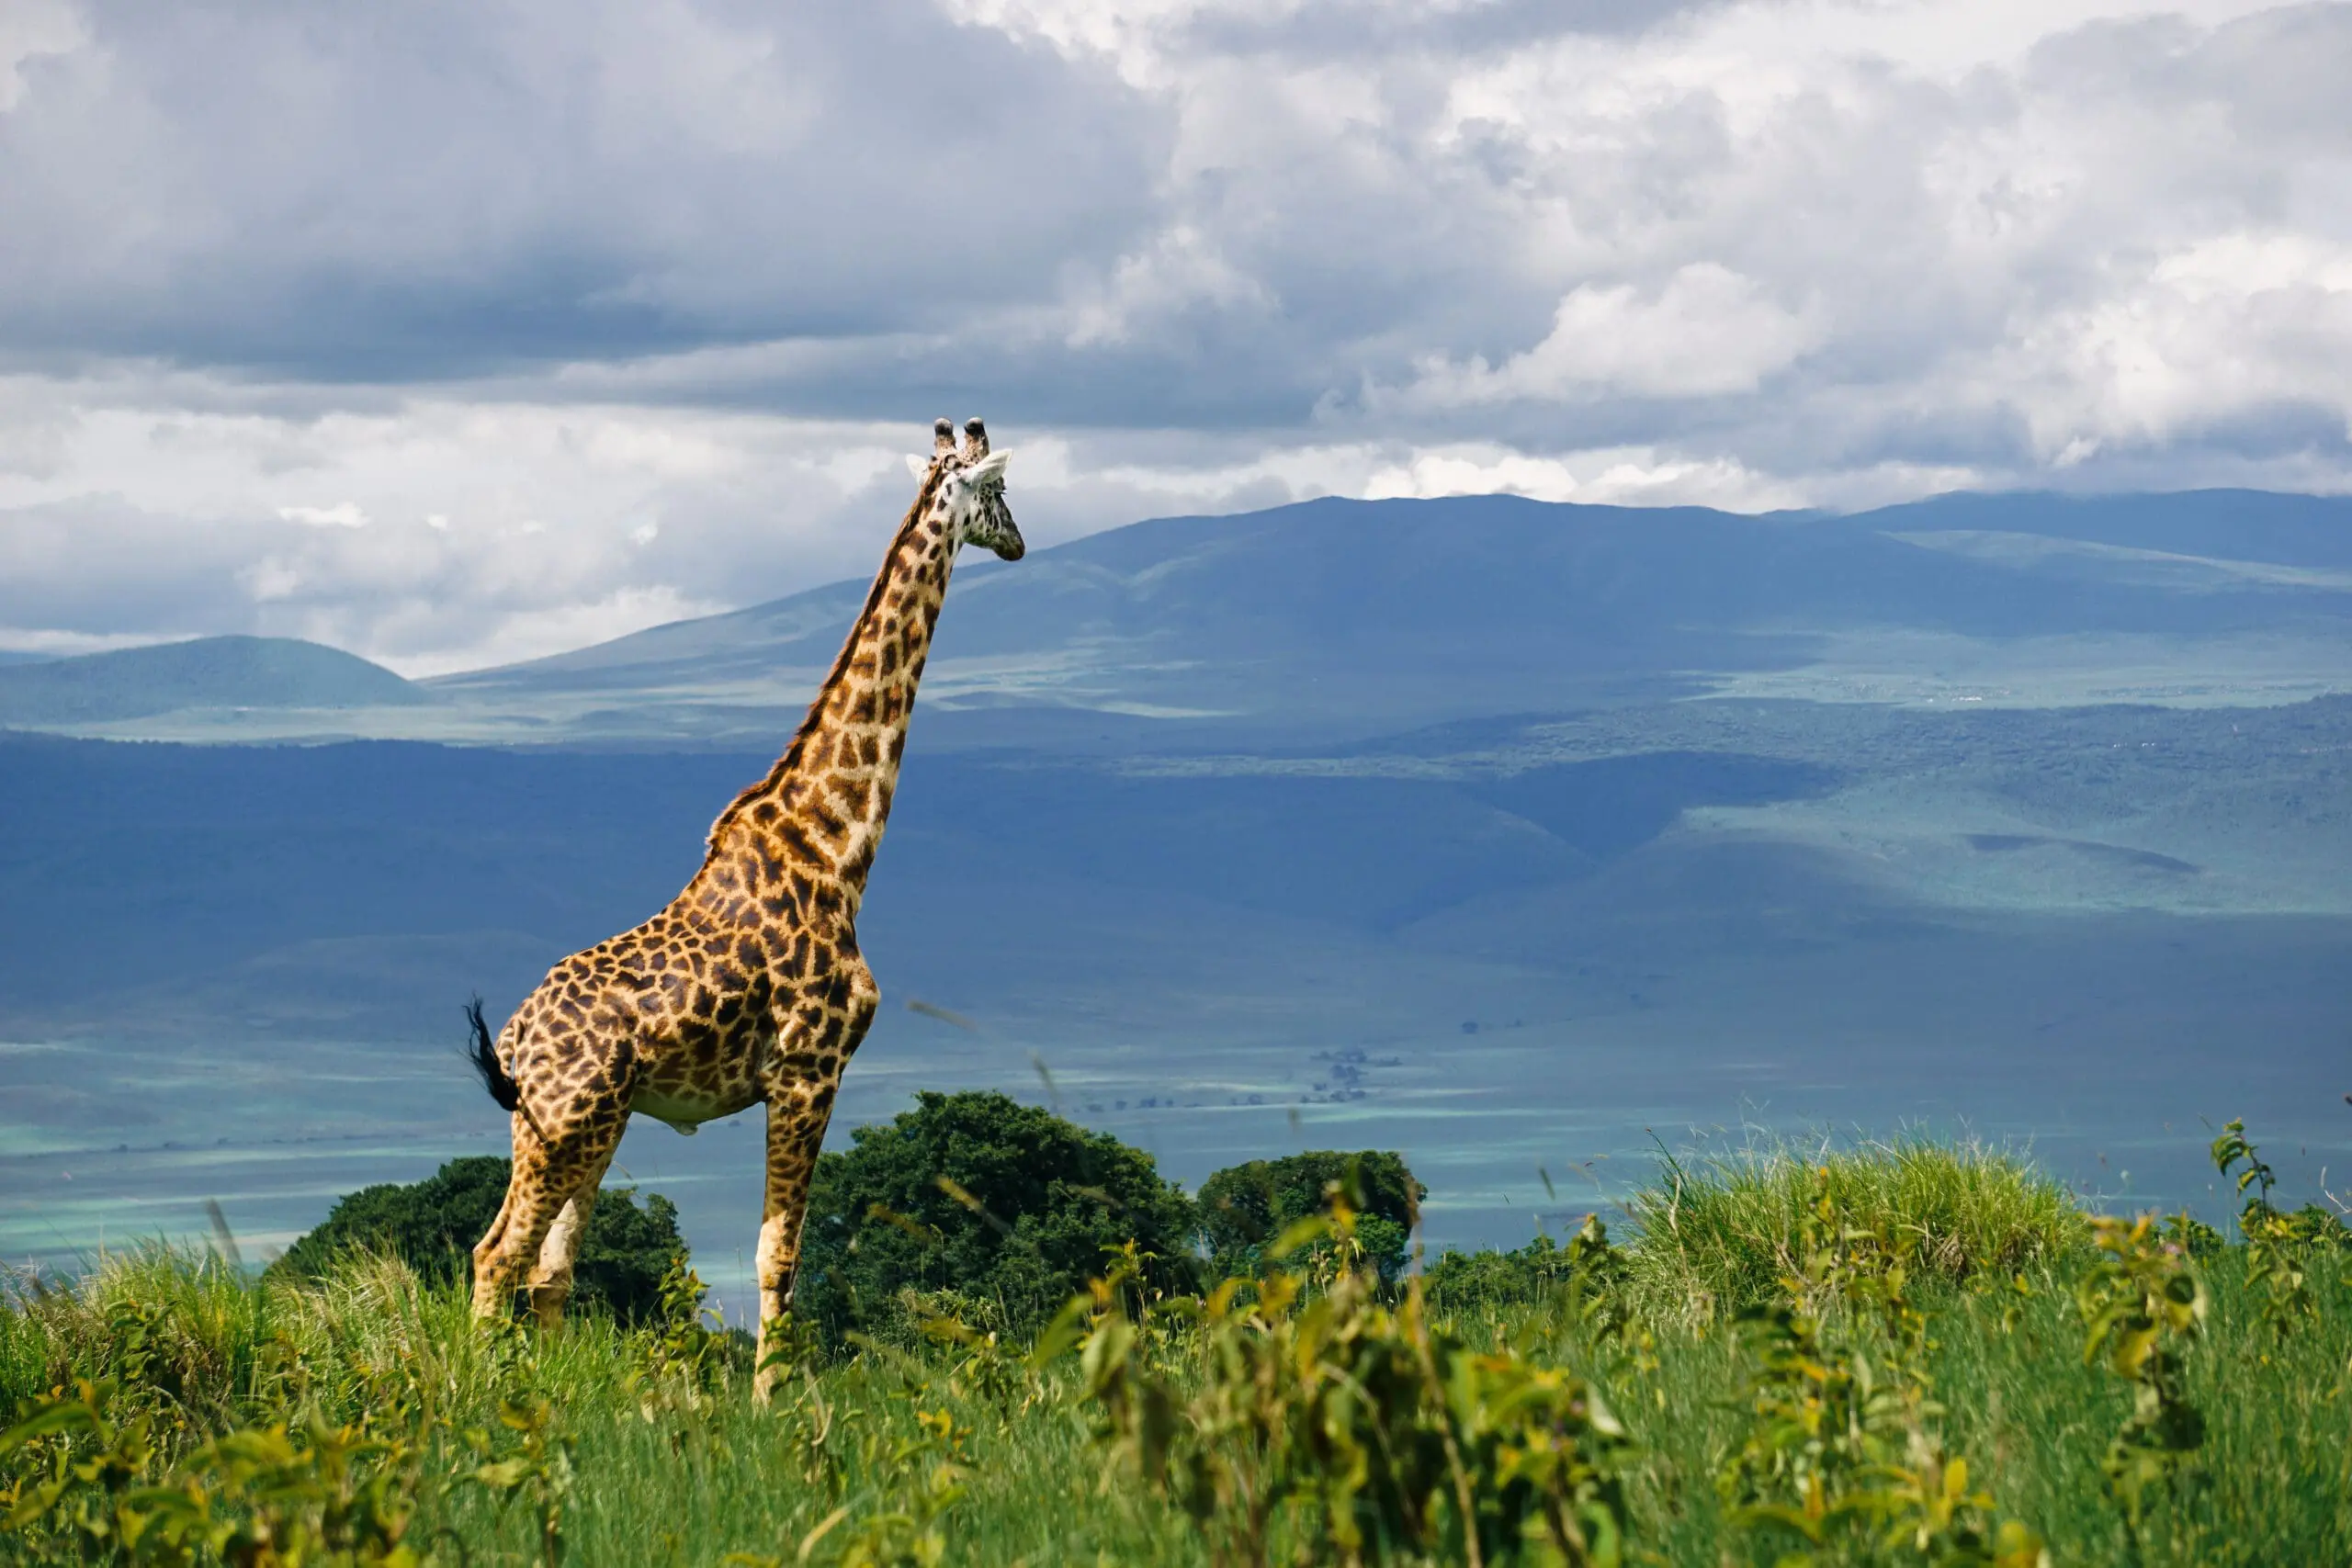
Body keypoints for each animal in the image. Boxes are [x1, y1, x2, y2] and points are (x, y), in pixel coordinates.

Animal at [464, 416, 1023, 1398]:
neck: (837, 844)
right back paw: (487, 1396)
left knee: (541, 1264)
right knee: (500, 1256)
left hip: (579, 1124)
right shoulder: (809, 1068)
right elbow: (779, 1255)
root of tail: (517, 1039)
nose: (1022, 542)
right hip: (568, 1124)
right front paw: (772, 1406)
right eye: (998, 491)